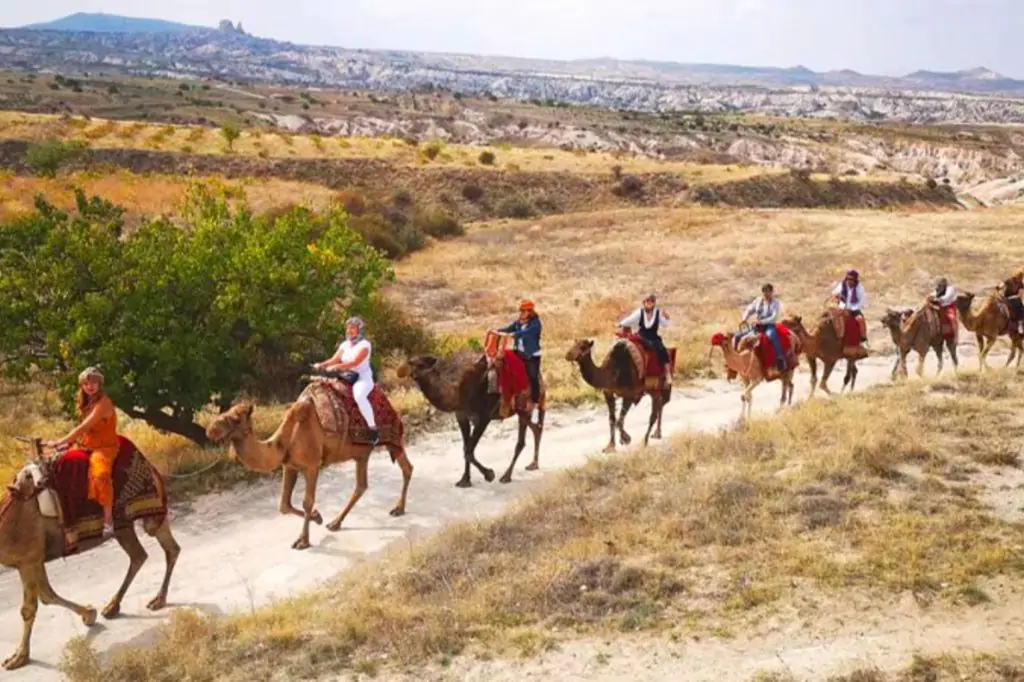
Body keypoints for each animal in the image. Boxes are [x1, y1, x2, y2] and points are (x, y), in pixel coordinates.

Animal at [0, 436, 179, 667]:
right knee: (141, 555)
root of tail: (153, 468)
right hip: (124, 525)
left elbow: (29, 607)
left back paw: (157, 600)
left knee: (166, 547)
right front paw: (89, 613)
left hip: (149, 512)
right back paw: (113, 606)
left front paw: (18, 657)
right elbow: (48, 595)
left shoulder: (28, 559)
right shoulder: (34, 559)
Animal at [205, 393, 413, 548]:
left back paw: (398, 509)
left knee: (406, 467)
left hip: (391, 439)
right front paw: (318, 517)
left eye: (234, 419)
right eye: (224, 413)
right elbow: (284, 505)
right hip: (361, 453)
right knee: (362, 485)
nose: (211, 430)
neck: (285, 441)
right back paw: (335, 523)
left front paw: (303, 540)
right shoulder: (289, 466)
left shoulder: (312, 466)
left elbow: (307, 502)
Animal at [397, 348, 548, 485]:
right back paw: (533, 464)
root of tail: (540, 379)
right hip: (523, 410)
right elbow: (465, 448)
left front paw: (489, 474)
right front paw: (465, 480)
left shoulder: (483, 417)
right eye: (412, 361)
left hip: (524, 406)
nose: (403, 370)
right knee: (536, 428)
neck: (458, 393)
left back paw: (506, 476)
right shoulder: (462, 416)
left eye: (420, 364)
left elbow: (469, 451)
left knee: (522, 440)